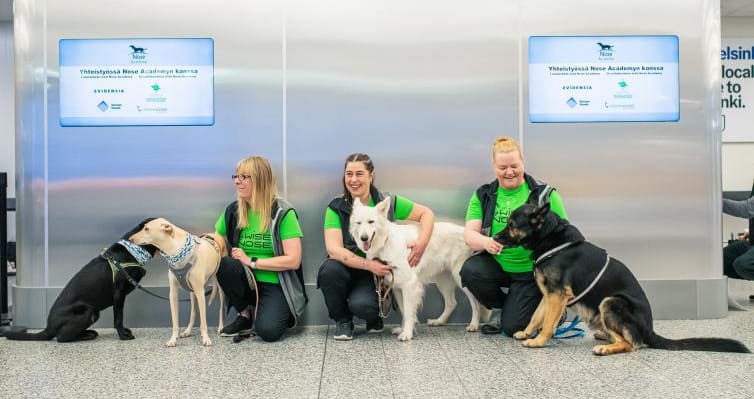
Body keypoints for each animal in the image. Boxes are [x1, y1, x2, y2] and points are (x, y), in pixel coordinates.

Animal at [1, 220, 157, 342]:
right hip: (88, 312)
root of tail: (48, 328)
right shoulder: (118, 293)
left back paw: (88, 333)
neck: (133, 250)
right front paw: (123, 335)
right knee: (61, 338)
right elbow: (118, 317)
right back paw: (85, 336)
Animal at [348, 197, 488, 340]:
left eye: (371, 221)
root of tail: (467, 232)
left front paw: (407, 333)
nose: (363, 238)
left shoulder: (409, 285)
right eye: (358, 223)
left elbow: (409, 312)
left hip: (460, 278)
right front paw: (403, 329)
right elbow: (404, 311)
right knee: (452, 303)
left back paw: (474, 324)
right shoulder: (397, 287)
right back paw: (439, 321)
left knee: (475, 302)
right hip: (443, 281)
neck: (385, 242)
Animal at [494, 203, 748, 356]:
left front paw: (538, 341)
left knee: (632, 344)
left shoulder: (556, 296)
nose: (494, 237)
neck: (551, 239)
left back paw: (606, 348)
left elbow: (547, 323)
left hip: (610, 301)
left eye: (512, 224)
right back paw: (605, 336)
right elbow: (537, 316)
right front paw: (527, 333)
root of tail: (649, 330)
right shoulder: (549, 295)